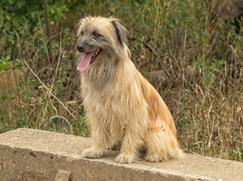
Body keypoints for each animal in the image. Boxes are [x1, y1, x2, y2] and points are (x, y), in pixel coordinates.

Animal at [76, 16, 182, 164]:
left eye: (96, 34)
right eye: (82, 33)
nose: (79, 47)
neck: (105, 71)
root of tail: (176, 144)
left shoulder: (134, 111)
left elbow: (131, 134)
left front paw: (126, 155)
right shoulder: (97, 110)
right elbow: (99, 131)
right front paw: (96, 150)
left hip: (155, 130)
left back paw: (155, 155)